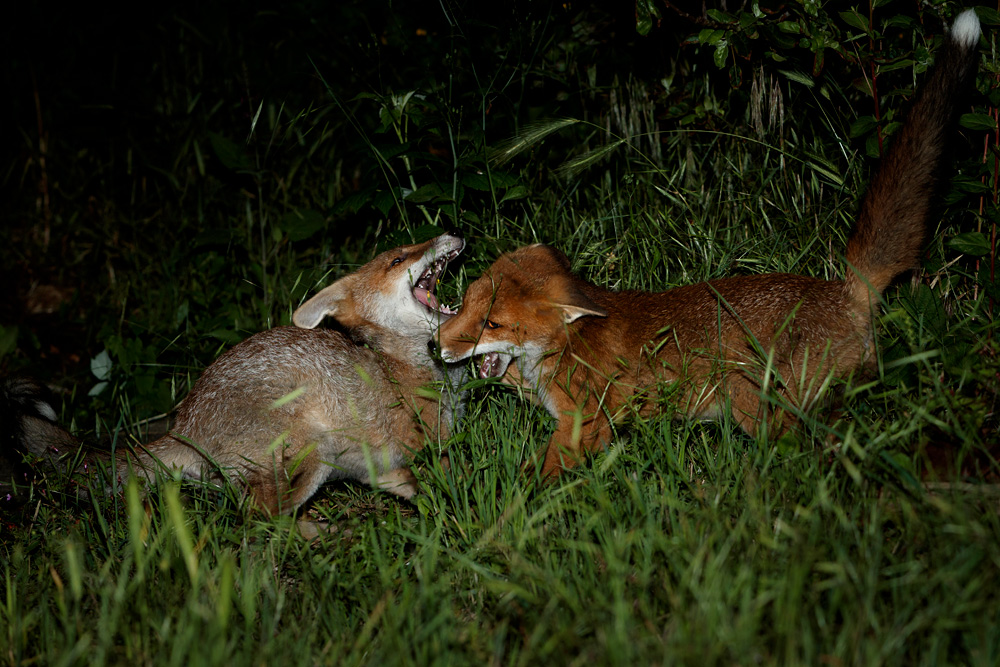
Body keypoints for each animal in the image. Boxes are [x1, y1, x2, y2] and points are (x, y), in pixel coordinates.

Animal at [1, 232, 465, 513]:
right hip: (315, 449)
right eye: (399, 258)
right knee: (259, 523)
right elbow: (445, 484)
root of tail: (182, 427)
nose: (451, 233)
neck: (400, 365)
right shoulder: (424, 445)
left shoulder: (385, 467)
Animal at [435, 11, 982, 479]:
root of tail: (846, 290)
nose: (434, 345)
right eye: (464, 302)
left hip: (756, 400)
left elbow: (533, 484)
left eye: (493, 324)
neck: (564, 349)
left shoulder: (585, 425)